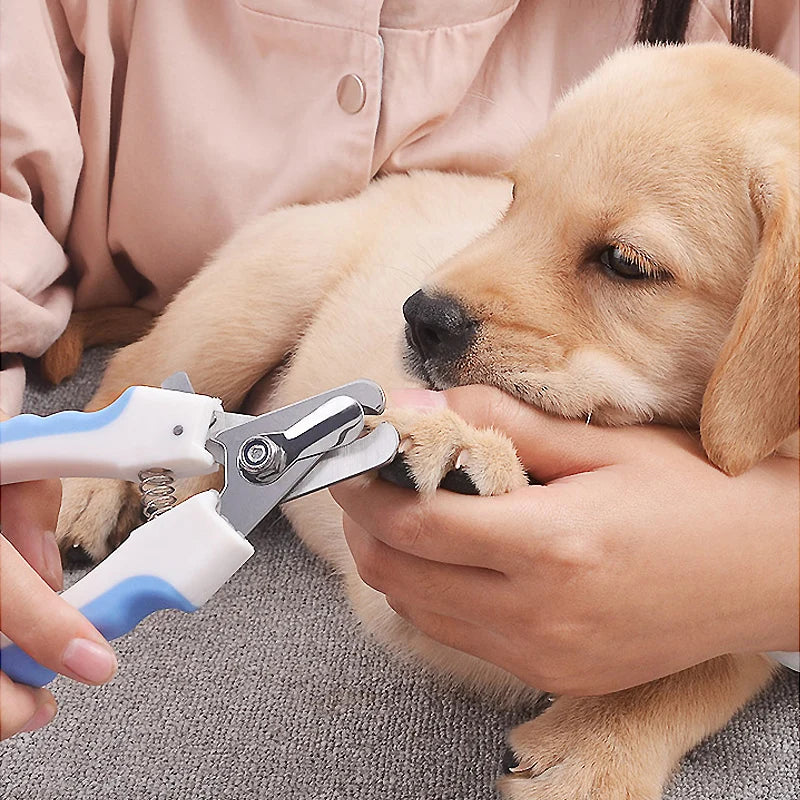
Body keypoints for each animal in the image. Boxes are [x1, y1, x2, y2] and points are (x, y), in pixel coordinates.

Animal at [51, 45, 800, 800]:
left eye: (625, 263)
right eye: (513, 199)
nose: (420, 317)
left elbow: (699, 670)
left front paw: (594, 755)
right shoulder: (397, 598)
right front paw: (464, 451)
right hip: (251, 303)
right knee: (138, 374)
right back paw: (89, 490)